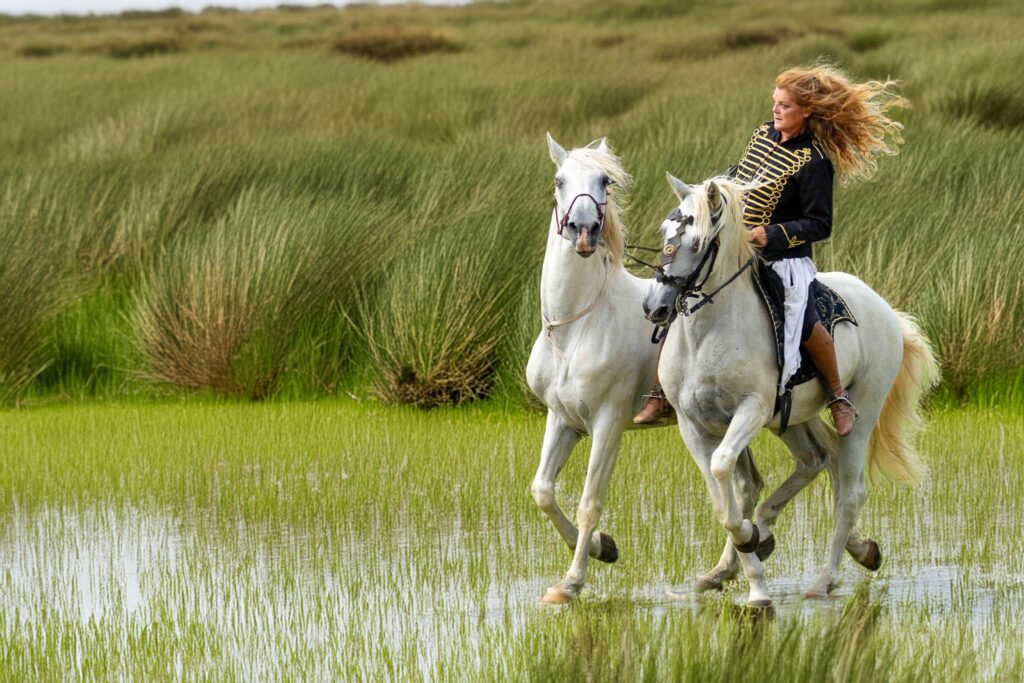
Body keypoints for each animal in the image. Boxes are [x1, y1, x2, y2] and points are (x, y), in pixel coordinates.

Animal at [641, 173, 939, 606]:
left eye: (696, 242)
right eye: (664, 232)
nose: (655, 307)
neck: (708, 333)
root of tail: (884, 308)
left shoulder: (751, 410)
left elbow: (725, 476)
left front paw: (753, 566)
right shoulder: (694, 425)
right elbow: (724, 497)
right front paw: (745, 562)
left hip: (861, 410)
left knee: (849, 491)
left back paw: (823, 581)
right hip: (794, 417)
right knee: (816, 460)